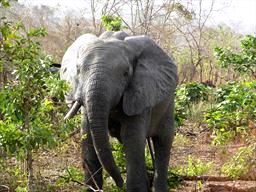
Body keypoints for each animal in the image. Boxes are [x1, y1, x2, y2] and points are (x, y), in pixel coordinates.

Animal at [60, 30, 178, 191]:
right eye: (78, 70)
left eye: (126, 73)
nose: (119, 183)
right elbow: (88, 136)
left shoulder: (139, 93)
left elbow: (132, 138)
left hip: (168, 103)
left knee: (163, 141)